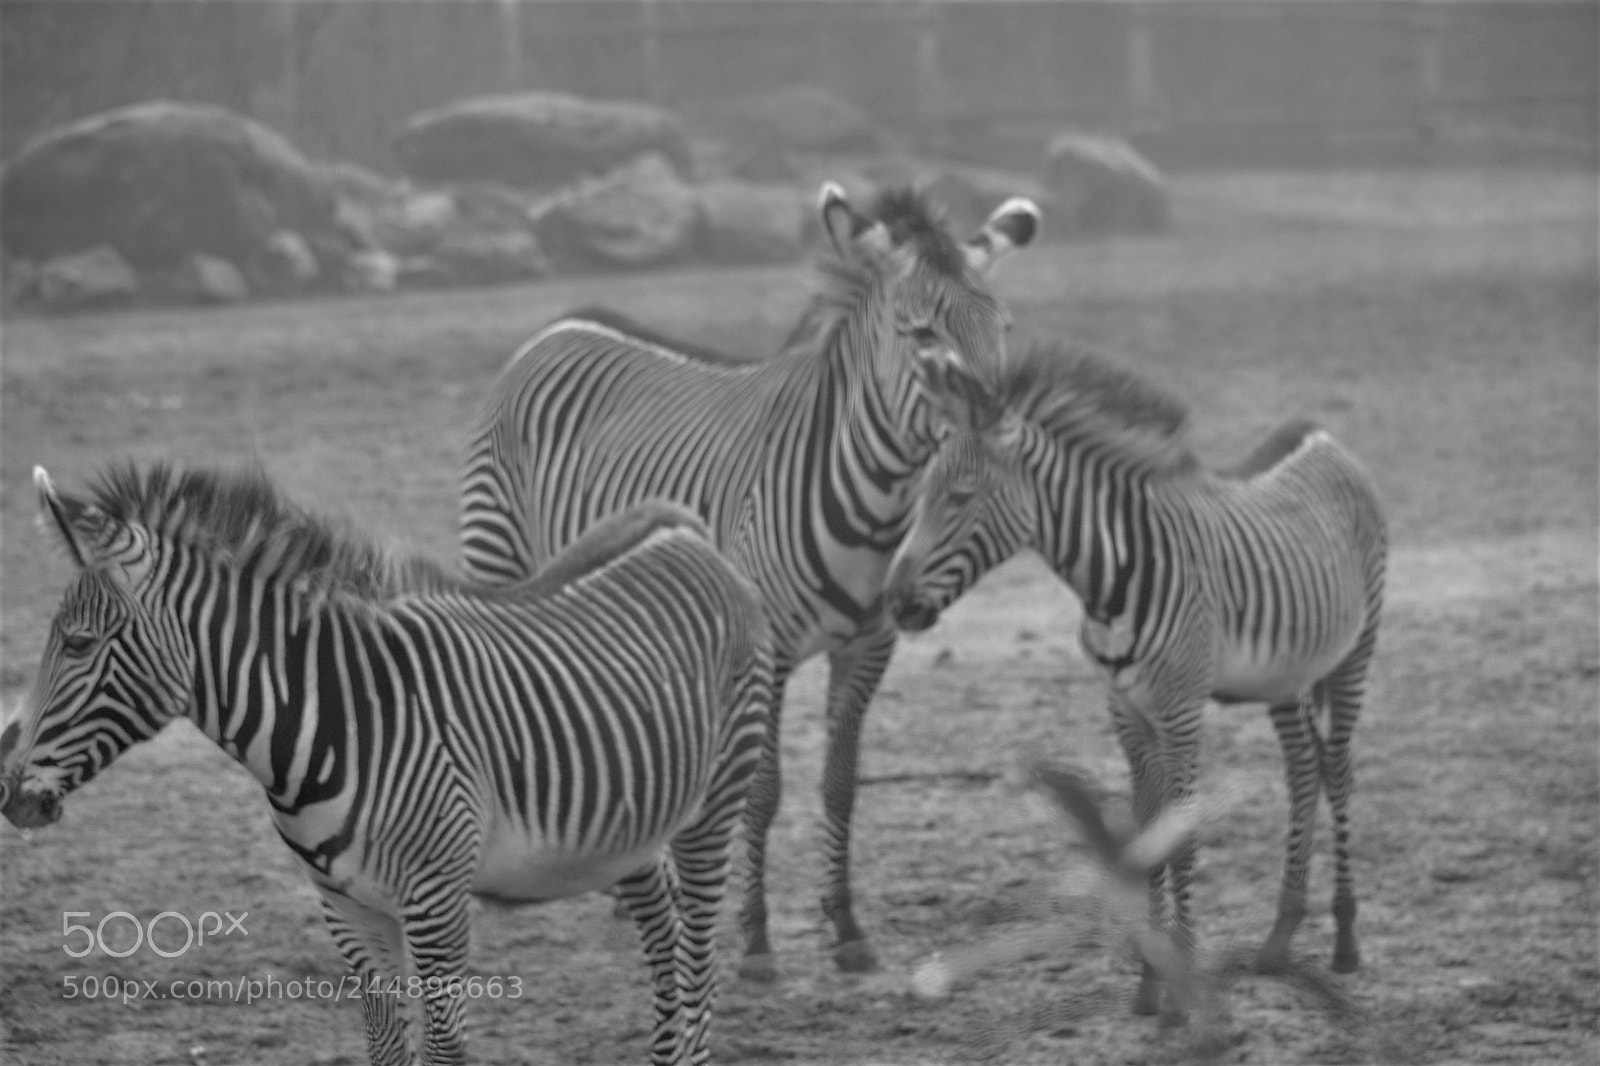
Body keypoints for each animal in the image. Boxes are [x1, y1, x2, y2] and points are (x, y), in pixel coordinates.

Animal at [0, 462, 772, 1066]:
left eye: (77, 643)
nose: (9, 794)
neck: (336, 718)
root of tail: (683, 528)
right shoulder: (346, 905)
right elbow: (384, 1045)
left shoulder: (436, 902)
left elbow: (443, 1047)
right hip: (627, 821)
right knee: (665, 927)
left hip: (714, 801)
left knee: (699, 955)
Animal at [458, 181, 1040, 978]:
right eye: (921, 334)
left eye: (1002, 327)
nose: (1000, 434)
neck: (879, 509)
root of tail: (559, 327)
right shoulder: (769, 648)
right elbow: (763, 791)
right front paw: (758, 939)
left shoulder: (869, 647)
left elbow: (840, 784)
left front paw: (846, 927)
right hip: (500, 558)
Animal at [882, 343, 1386, 1015]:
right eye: (921, 496)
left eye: (961, 496)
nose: (894, 603)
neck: (1110, 579)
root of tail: (1321, 432)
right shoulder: (1125, 710)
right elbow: (1147, 835)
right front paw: (1152, 984)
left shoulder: (1180, 708)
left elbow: (1183, 838)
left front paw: (1185, 980)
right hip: (1285, 672)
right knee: (1304, 769)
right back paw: (1280, 939)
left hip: (1358, 647)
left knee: (1338, 768)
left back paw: (1347, 940)